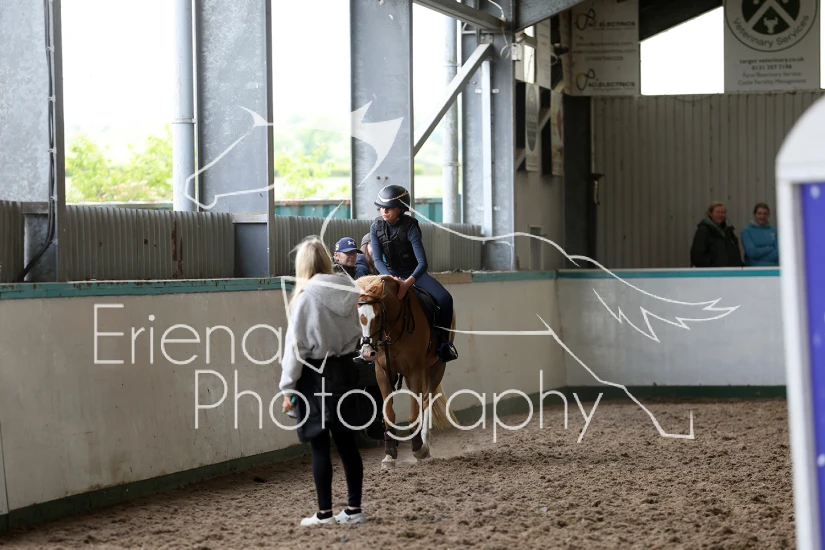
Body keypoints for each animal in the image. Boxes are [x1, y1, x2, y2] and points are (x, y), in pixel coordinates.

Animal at [355, 274, 458, 468]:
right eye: (360, 317)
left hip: (436, 367)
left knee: (427, 401)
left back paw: (425, 443)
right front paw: (389, 455)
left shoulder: (414, 371)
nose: (366, 352)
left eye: (378, 316)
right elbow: (388, 413)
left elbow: (414, 412)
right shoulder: (382, 373)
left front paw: (418, 448)